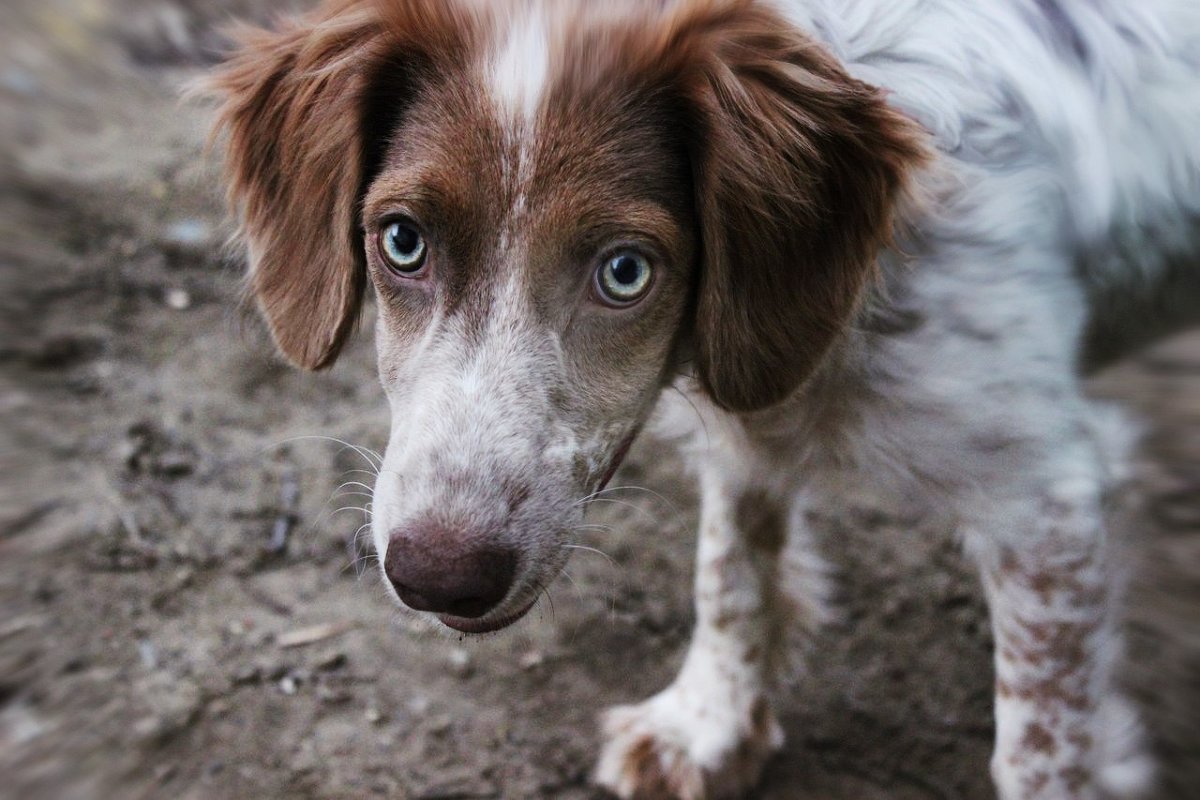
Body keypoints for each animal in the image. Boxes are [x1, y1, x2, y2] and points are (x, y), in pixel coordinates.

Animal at [208, 0, 1200, 796]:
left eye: (625, 270)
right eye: (403, 241)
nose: (437, 575)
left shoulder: (1047, 501)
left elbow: (1041, 739)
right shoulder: (748, 424)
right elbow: (730, 574)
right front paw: (709, 727)